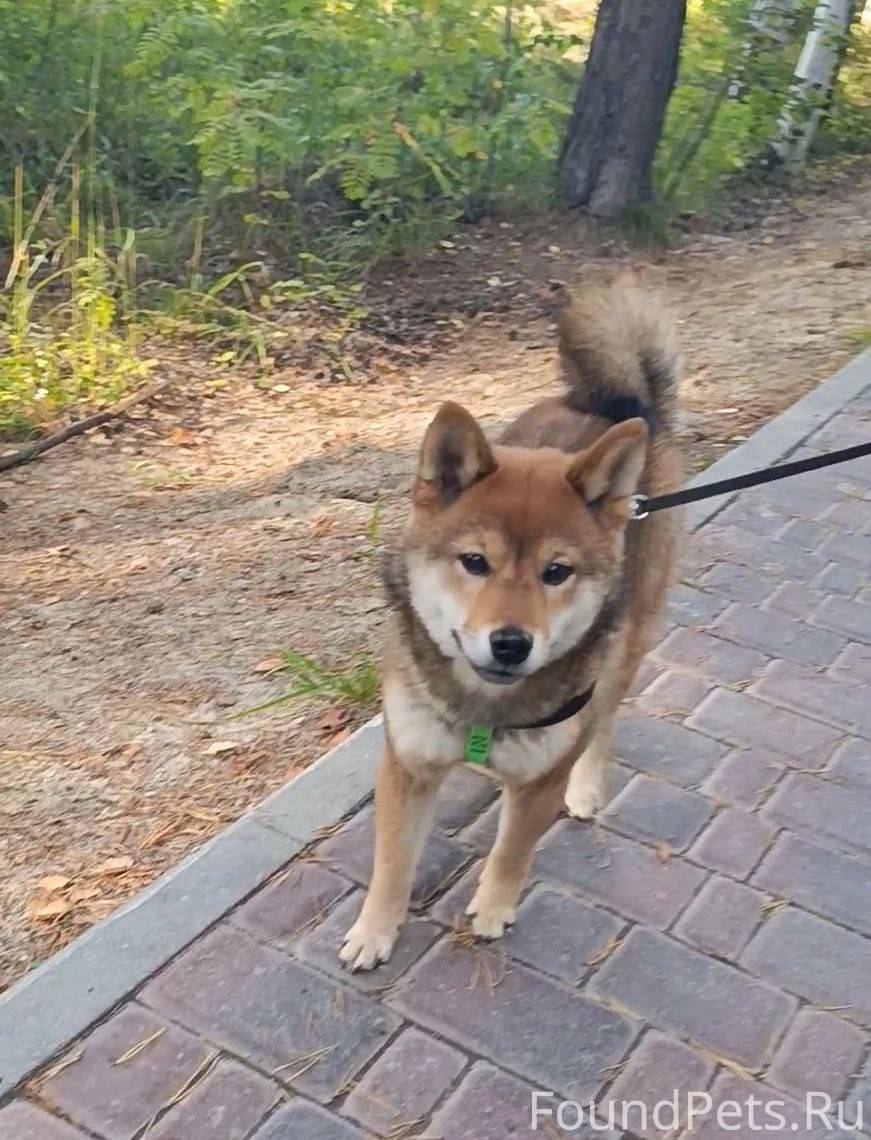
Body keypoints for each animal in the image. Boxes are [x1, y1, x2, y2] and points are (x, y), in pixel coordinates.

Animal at [340, 276, 684, 970]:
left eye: (557, 572)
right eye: (475, 562)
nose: (509, 643)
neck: (483, 709)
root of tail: (619, 405)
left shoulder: (540, 777)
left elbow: (512, 850)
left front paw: (494, 908)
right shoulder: (407, 766)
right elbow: (391, 864)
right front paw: (374, 931)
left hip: (624, 648)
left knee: (604, 722)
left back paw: (587, 787)